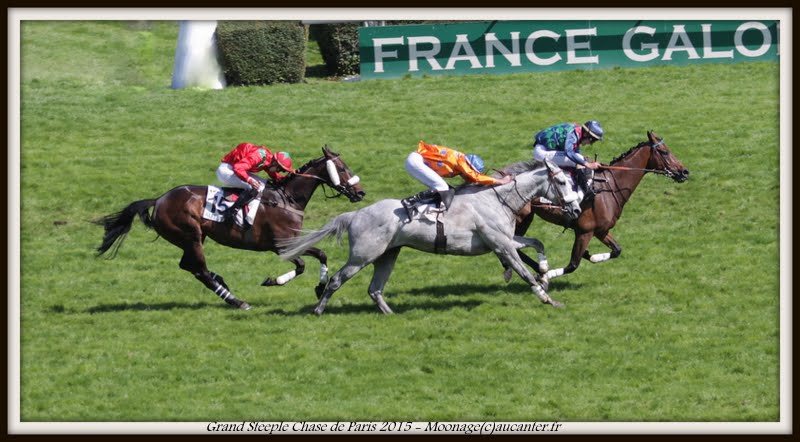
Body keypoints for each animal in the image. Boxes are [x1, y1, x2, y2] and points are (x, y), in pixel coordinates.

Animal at [94, 147, 366, 310]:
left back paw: (222, 282)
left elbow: (321, 255)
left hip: (192, 238)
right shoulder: (282, 245)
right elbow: (302, 264)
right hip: (190, 235)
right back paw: (236, 300)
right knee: (199, 270)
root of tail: (159, 200)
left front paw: (320, 287)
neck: (287, 198)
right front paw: (274, 281)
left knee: (190, 266)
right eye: (343, 168)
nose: (360, 192)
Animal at [278, 159, 580, 314]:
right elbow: (523, 272)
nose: (576, 209)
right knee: (337, 280)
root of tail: (354, 215)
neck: (497, 199)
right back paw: (318, 310)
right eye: (562, 182)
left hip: (388, 255)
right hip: (363, 256)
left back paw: (391, 314)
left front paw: (545, 272)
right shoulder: (501, 244)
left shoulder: (505, 239)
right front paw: (547, 298)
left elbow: (537, 243)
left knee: (375, 289)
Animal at [500, 131, 688, 284]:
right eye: (664, 152)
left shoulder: (601, 230)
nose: (684, 171)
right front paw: (548, 274)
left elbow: (617, 250)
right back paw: (536, 271)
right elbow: (573, 264)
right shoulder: (585, 231)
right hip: (522, 218)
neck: (610, 186)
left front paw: (592, 256)